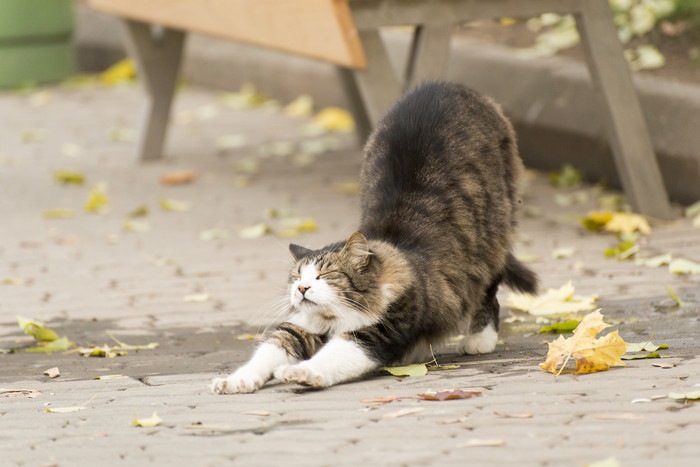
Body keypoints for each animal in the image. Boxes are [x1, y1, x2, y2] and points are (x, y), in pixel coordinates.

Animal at [211, 81, 540, 394]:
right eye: (296, 278)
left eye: (324, 276)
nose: (302, 288)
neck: (336, 318)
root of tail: (446, 85)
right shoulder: (298, 328)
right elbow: (266, 353)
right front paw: (235, 380)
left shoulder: (379, 331)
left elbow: (334, 355)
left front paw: (303, 373)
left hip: (493, 237)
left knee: (488, 290)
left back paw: (479, 339)